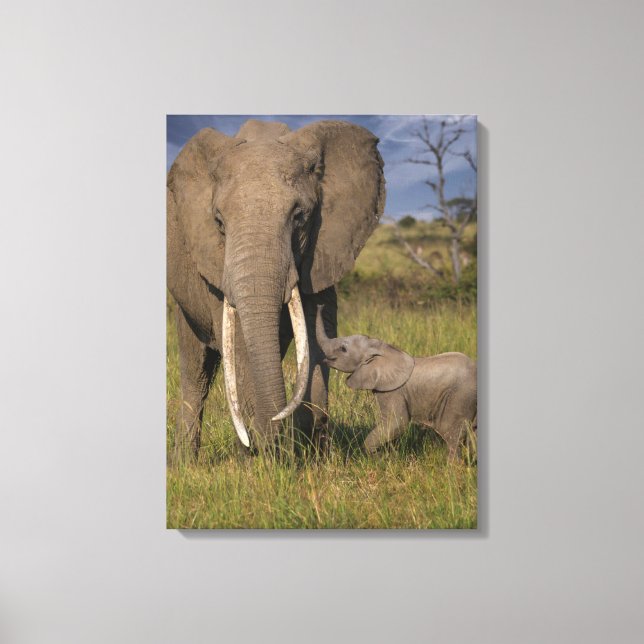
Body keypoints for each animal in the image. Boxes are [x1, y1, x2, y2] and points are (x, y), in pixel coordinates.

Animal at [167, 119, 385, 457]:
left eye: (299, 217)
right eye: (219, 222)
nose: (274, 438)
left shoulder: (322, 252)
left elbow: (318, 339)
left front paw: (313, 454)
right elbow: (240, 349)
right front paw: (262, 459)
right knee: (196, 371)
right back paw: (187, 462)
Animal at [315, 306, 477, 459]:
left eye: (343, 349)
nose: (320, 305)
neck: (379, 347)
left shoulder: (393, 391)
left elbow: (397, 422)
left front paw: (376, 458)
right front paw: (385, 457)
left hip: (460, 396)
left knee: (451, 433)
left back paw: (451, 467)